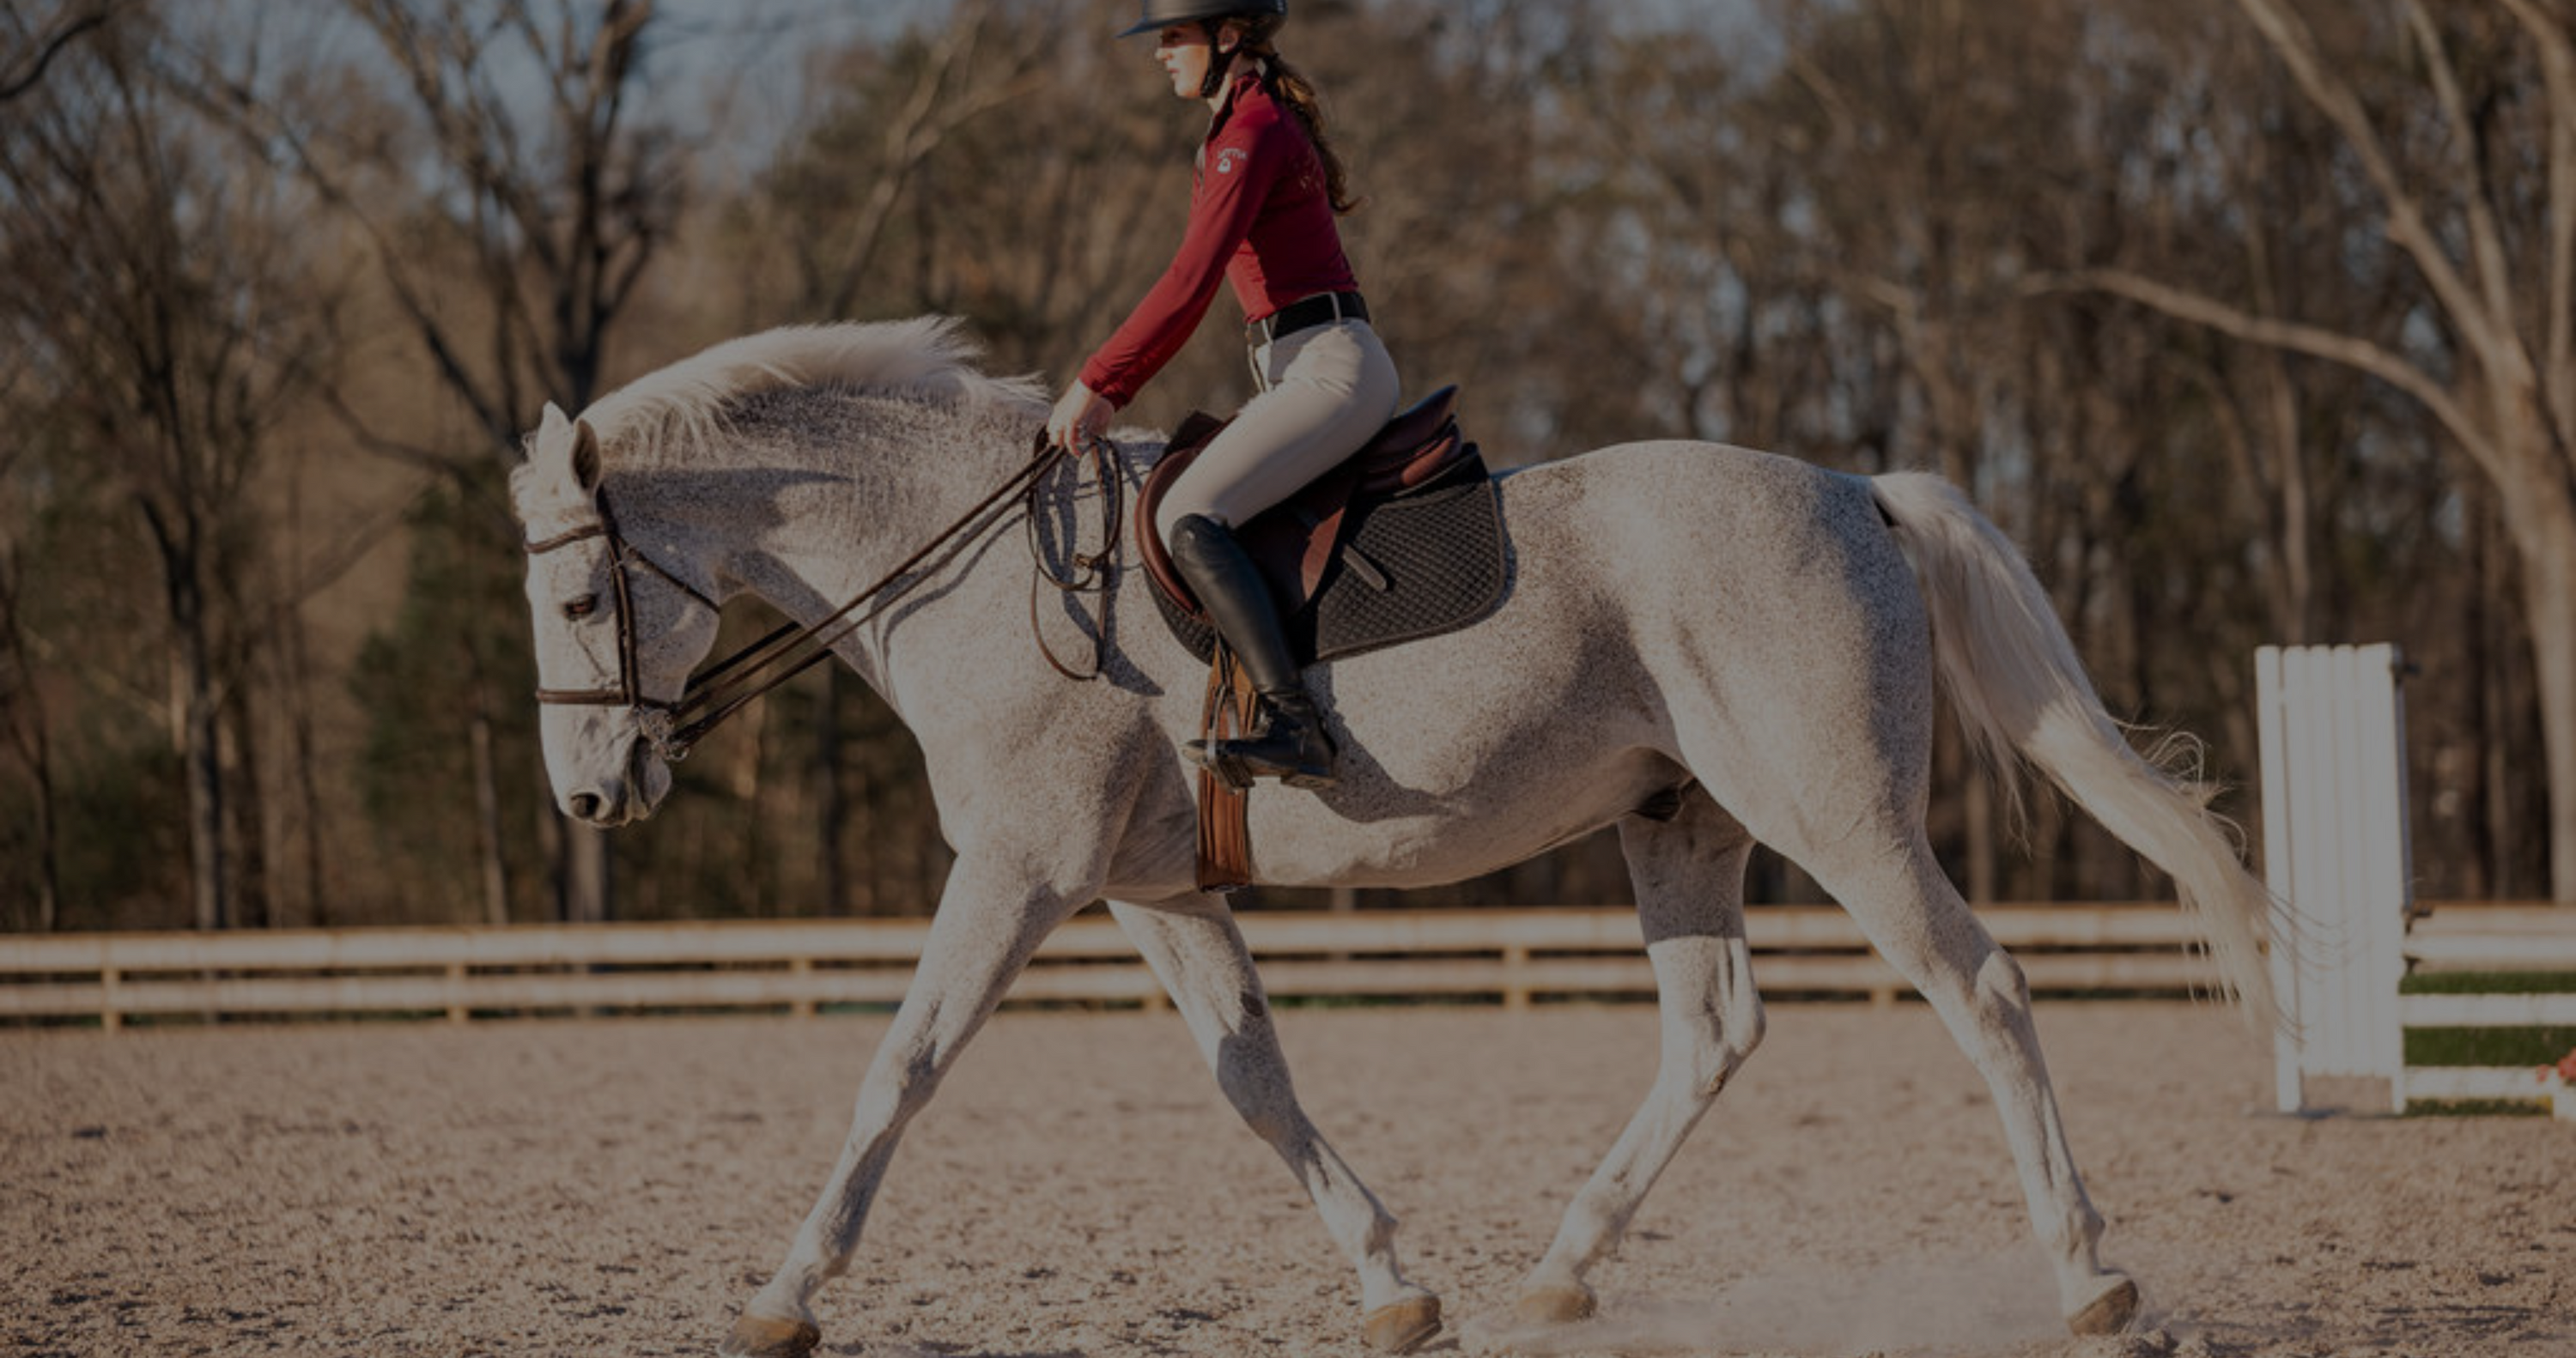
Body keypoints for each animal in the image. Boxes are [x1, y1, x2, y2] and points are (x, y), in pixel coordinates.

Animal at [507, 317, 2278, 1357]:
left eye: (584, 597)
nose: (591, 799)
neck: (975, 567)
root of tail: (1854, 488)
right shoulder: (1147, 893)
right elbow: (1254, 1078)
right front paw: (1394, 1282)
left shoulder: (1020, 870)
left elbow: (901, 1066)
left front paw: (781, 1292)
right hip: (1683, 823)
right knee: (1714, 1027)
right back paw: (1562, 1270)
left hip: (1831, 811)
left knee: (1982, 989)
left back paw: (2088, 1276)